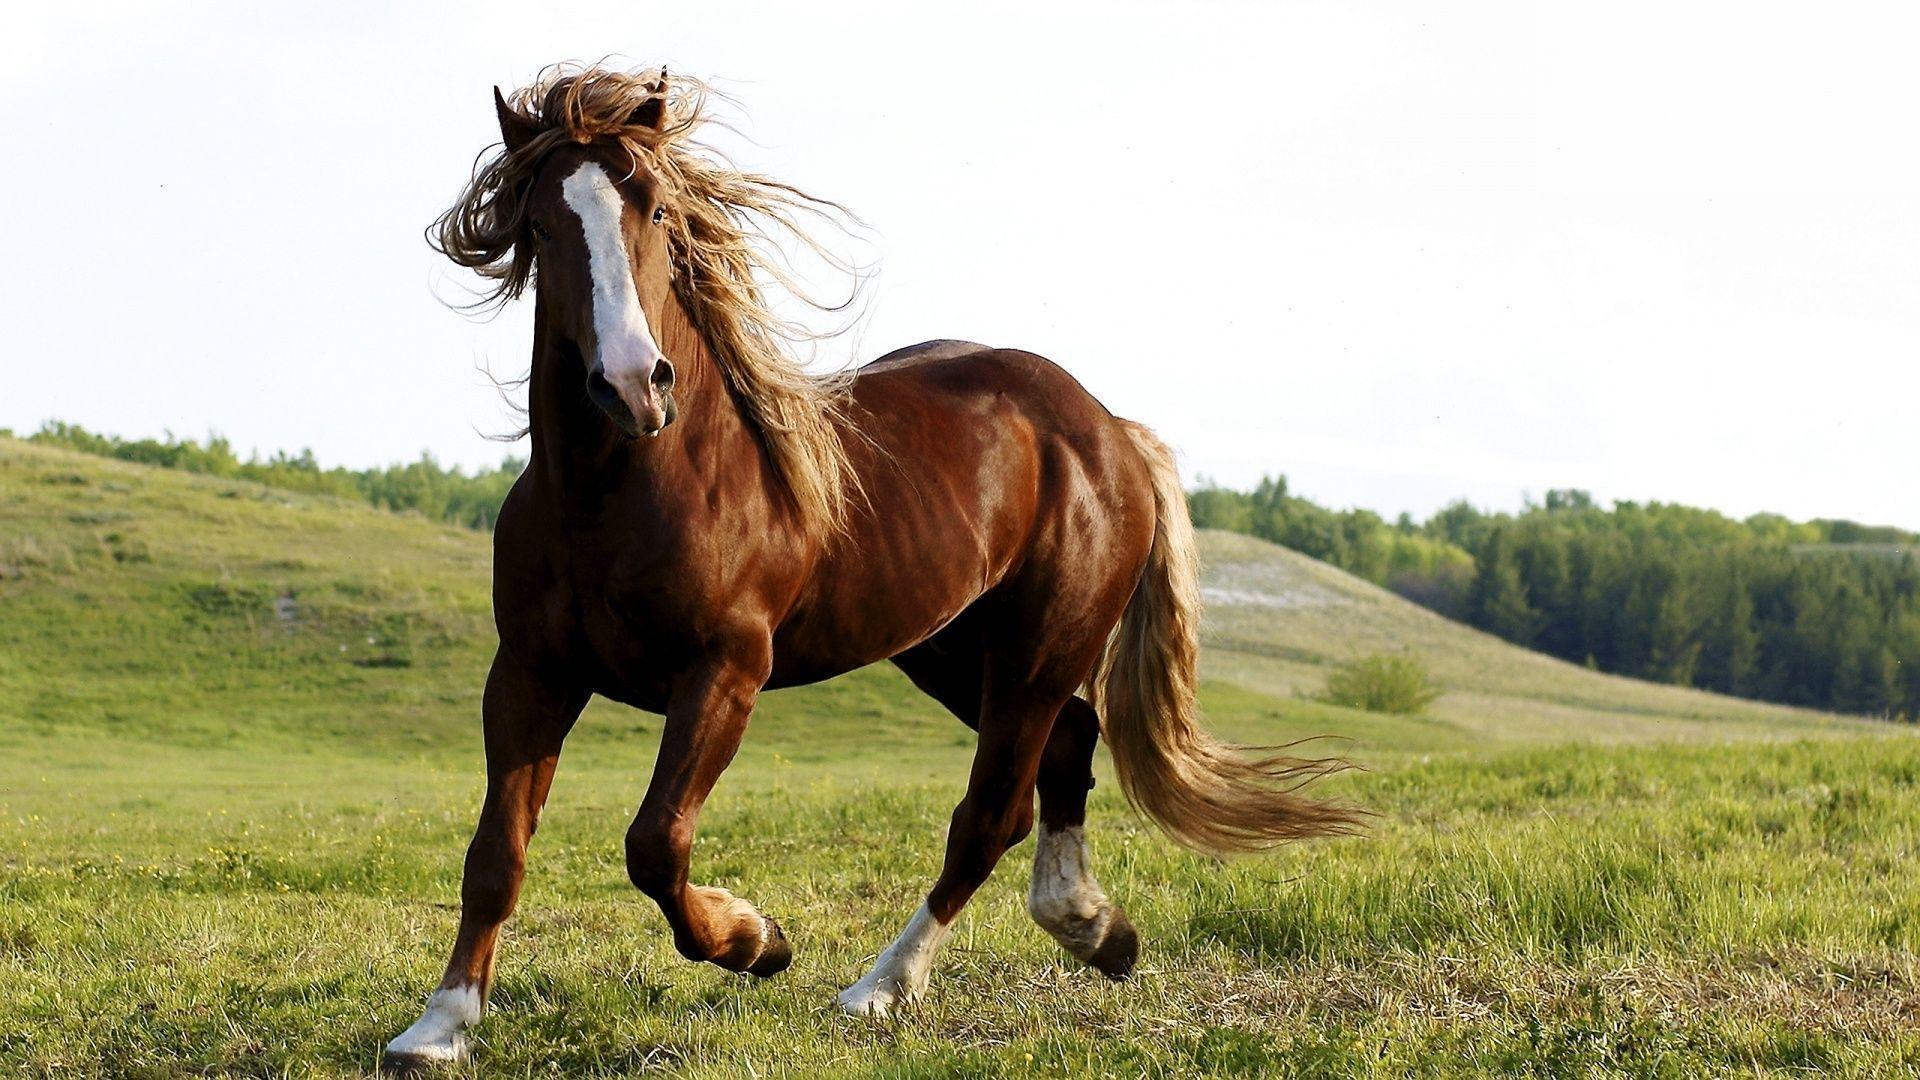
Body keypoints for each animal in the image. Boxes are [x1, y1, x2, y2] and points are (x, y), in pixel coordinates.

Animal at [384, 64, 1355, 1069]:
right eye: (540, 225)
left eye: (653, 207)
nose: (631, 385)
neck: (622, 488)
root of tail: (1107, 429)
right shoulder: (530, 673)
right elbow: (496, 854)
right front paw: (440, 1025)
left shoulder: (725, 671)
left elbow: (656, 843)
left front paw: (757, 941)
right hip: (950, 651)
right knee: (1067, 750)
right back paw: (1095, 929)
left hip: (1037, 654)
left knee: (988, 816)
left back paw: (881, 988)